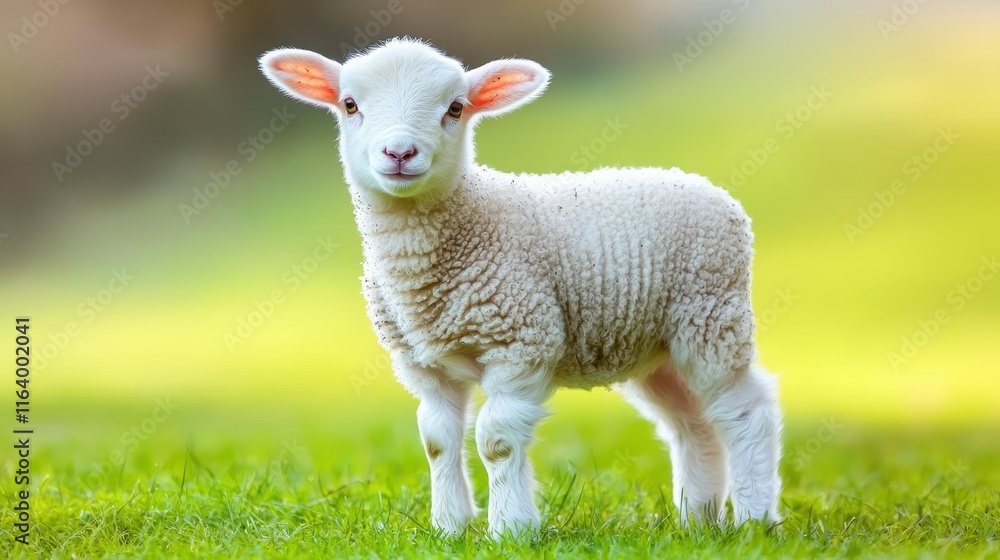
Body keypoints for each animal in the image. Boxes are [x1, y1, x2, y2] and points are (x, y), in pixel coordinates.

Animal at [259, 37, 783, 537]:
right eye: (349, 104)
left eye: (455, 108)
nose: (400, 154)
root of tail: (704, 186)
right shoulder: (421, 362)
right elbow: (436, 440)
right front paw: (449, 527)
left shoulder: (522, 341)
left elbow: (496, 441)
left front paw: (511, 528)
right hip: (657, 345)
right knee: (693, 422)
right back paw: (698, 519)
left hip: (711, 315)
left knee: (745, 411)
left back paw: (753, 519)